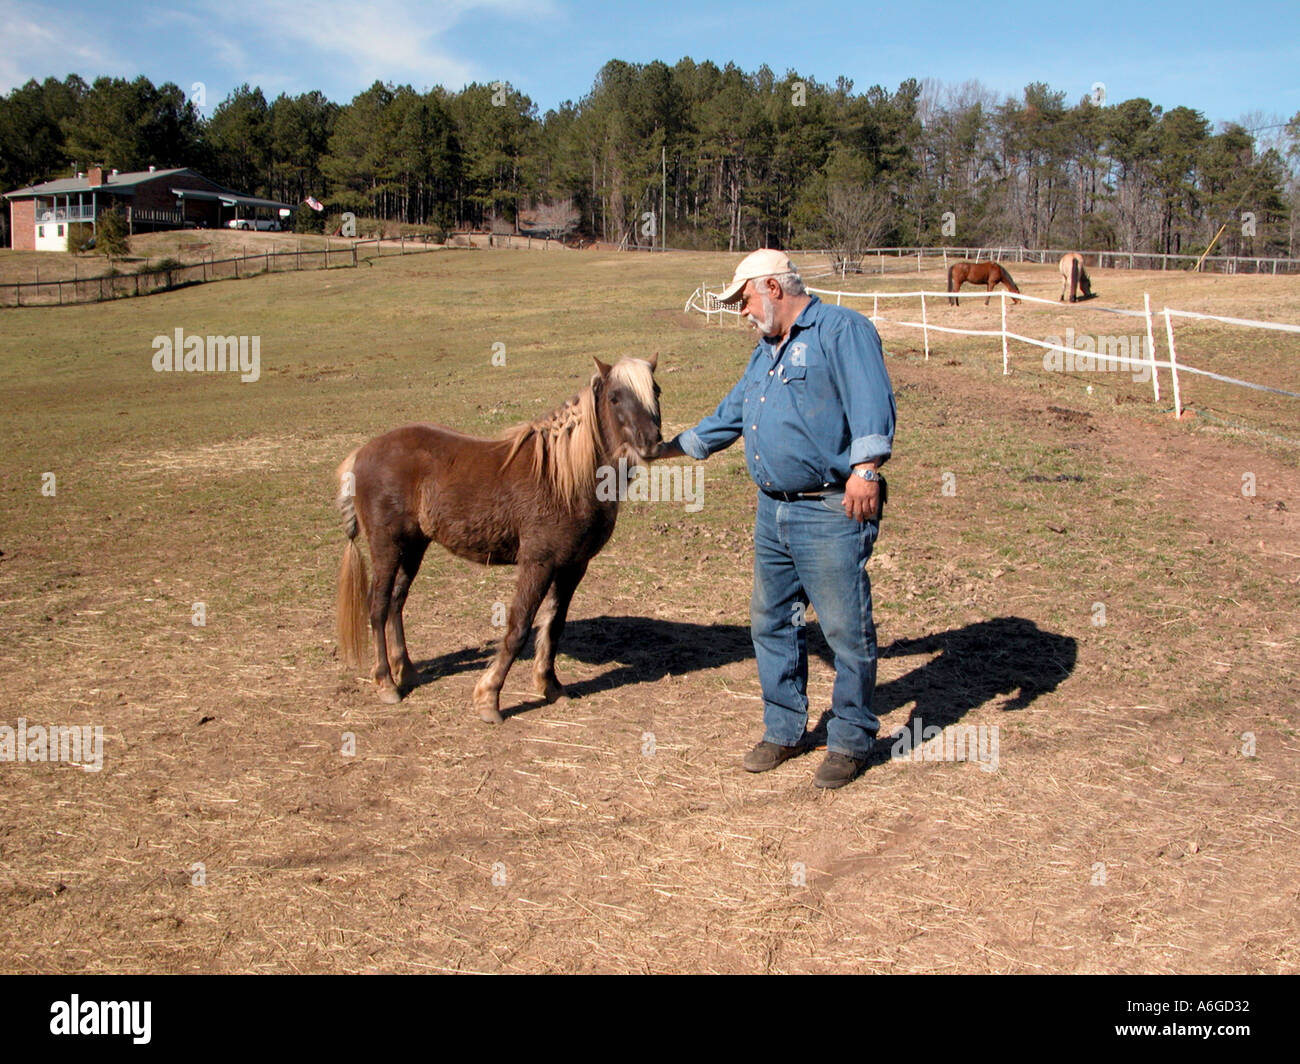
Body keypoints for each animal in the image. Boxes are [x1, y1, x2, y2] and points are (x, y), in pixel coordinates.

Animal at [335, 355, 662, 721]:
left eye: (656, 391)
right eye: (615, 398)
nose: (652, 442)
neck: (565, 478)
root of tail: (362, 453)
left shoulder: (573, 566)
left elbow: (554, 626)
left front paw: (551, 686)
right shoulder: (538, 563)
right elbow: (519, 627)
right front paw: (488, 698)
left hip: (414, 546)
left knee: (395, 602)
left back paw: (406, 672)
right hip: (387, 546)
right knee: (378, 606)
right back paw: (386, 683)